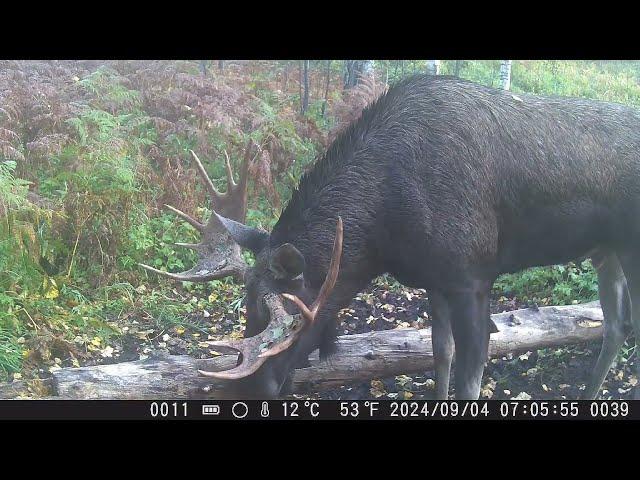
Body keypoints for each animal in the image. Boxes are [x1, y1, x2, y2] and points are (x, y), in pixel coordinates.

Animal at [142, 74, 640, 398]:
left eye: (294, 321)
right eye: (247, 307)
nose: (250, 391)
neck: (385, 230)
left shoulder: (473, 277)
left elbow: (470, 377)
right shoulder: (435, 279)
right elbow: (441, 357)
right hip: (607, 251)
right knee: (616, 324)